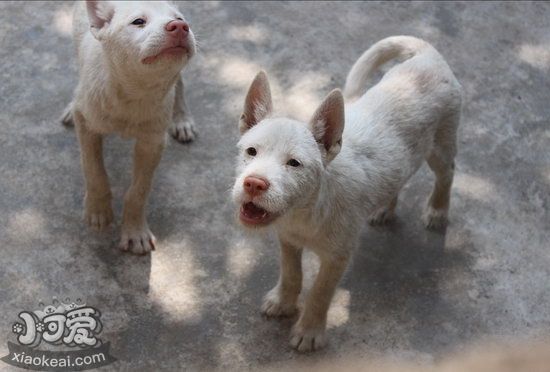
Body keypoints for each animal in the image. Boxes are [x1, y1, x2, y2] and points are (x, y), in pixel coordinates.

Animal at [63, 0, 197, 254]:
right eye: (138, 22)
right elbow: (93, 169)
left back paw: (182, 119)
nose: (179, 26)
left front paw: (135, 232)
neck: (133, 93)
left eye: (179, 19)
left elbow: (139, 190)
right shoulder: (86, 125)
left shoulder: (153, 141)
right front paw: (98, 210)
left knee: (181, 80)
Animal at [232, 36, 462, 354]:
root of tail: (428, 55)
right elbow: (291, 273)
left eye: (294, 164)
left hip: (441, 145)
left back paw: (438, 210)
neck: (308, 209)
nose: (253, 184)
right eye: (251, 151)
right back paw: (384, 207)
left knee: (447, 174)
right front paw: (283, 302)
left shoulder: (338, 256)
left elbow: (320, 292)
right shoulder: (287, 239)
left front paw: (309, 331)